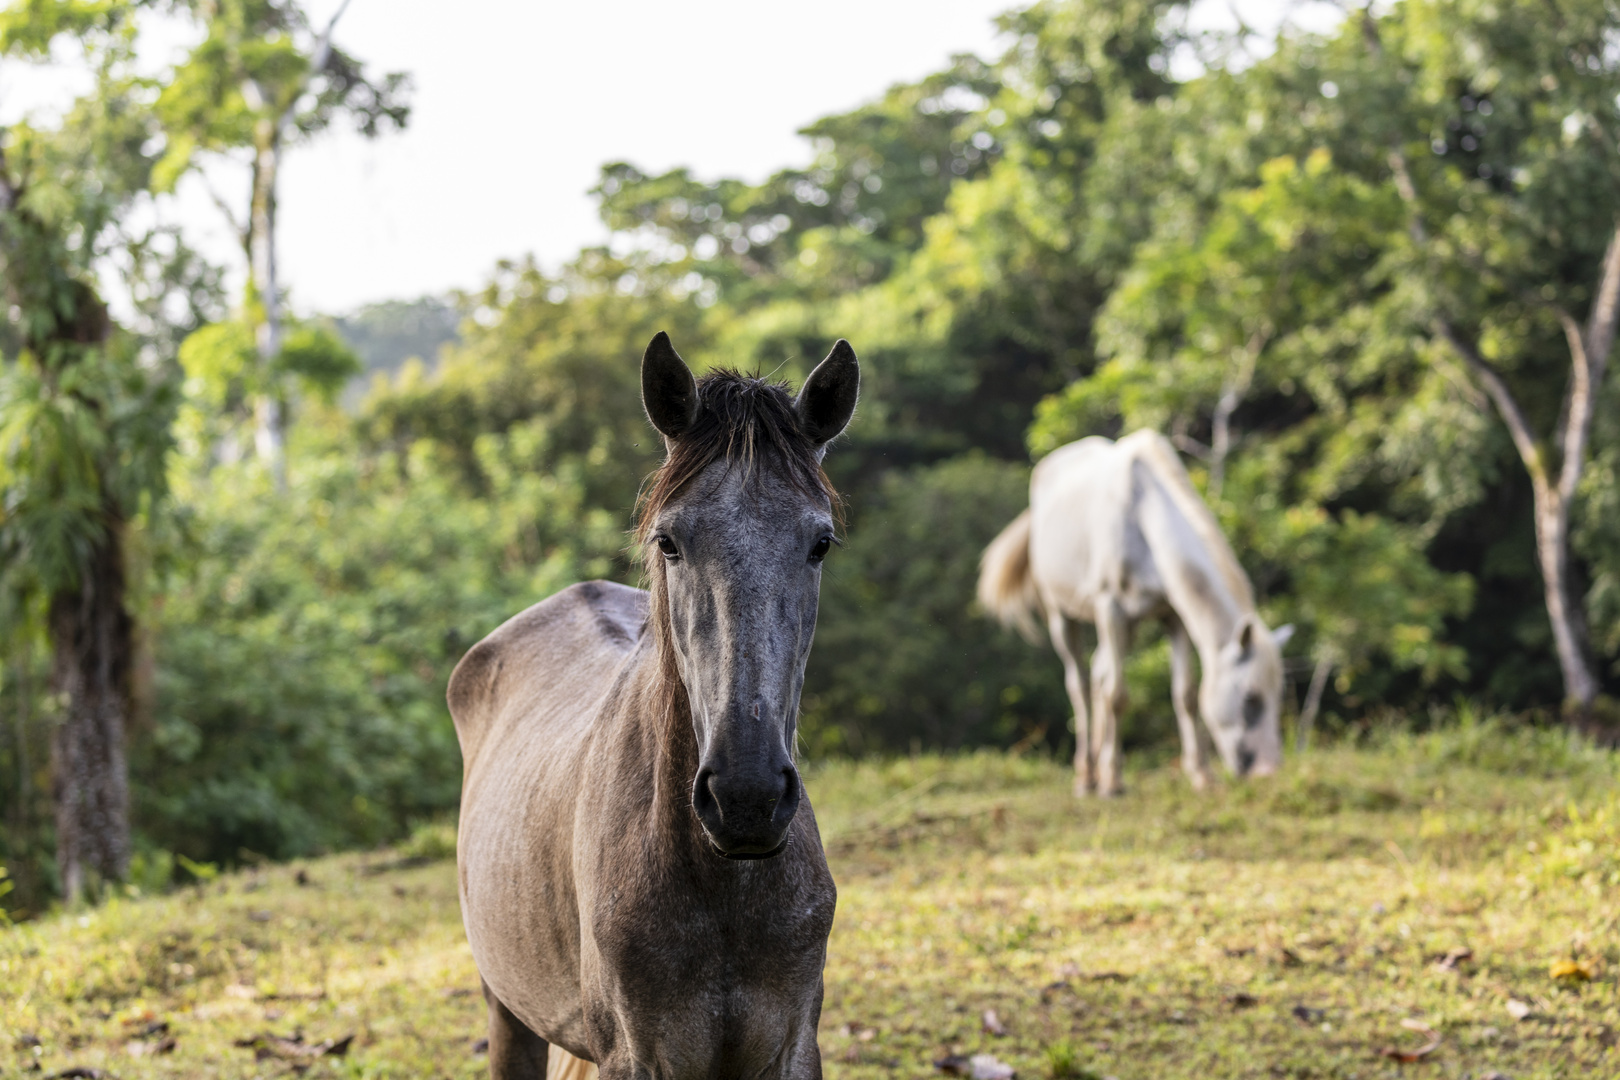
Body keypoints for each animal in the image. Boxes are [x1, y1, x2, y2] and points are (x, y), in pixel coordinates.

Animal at [453, 331, 861, 1080]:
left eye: (819, 543)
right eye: (668, 540)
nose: (747, 798)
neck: (723, 887)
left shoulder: (792, 1049)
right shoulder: (633, 1057)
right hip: (507, 1010)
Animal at [972, 427, 1289, 793]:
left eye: (1279, 695)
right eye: (1251, 698)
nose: (1268, 770)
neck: (1144, 512)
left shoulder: (1173, 616)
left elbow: (1185, 695)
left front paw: (1201, 775)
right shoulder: (1110, 608)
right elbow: (1118, 695)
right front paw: (1113, 781)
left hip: (1128, 628)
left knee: (1099, 673)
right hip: (1062, 615)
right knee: (1080, 684)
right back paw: (1088, 776)